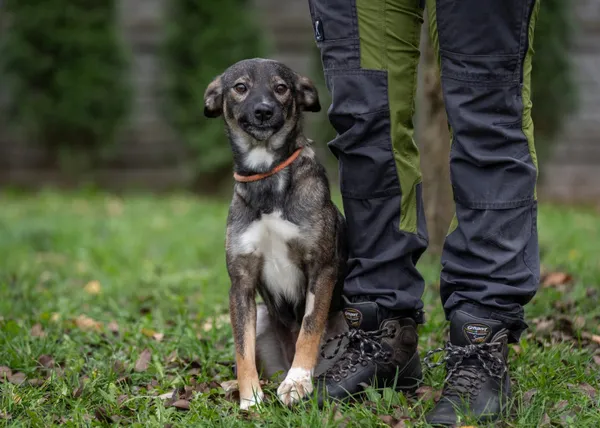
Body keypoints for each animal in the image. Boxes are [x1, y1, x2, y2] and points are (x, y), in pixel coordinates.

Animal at [204, 58, 350, 410]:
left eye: (281, 88)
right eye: (240, 87)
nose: (264, 111)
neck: (267, 178)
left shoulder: (321, 269)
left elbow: (309, 327)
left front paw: (297, 381)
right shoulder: (241, 283)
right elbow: (241, 349)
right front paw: (250, 399)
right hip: (261, 317)